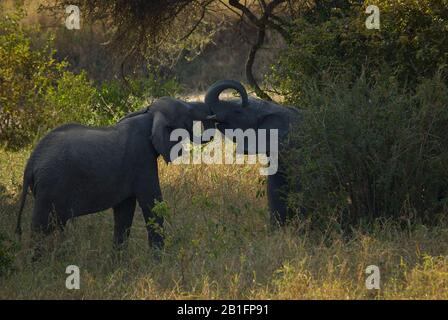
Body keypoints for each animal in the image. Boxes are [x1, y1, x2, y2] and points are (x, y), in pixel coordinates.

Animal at [15, 97, 215, 250]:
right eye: (188, 112)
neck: (148, 115)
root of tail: (30, 164)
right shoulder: (141, 159)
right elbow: (152, 203)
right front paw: (160, 260)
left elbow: (124, 211)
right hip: (50, 187)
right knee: (41, 228)